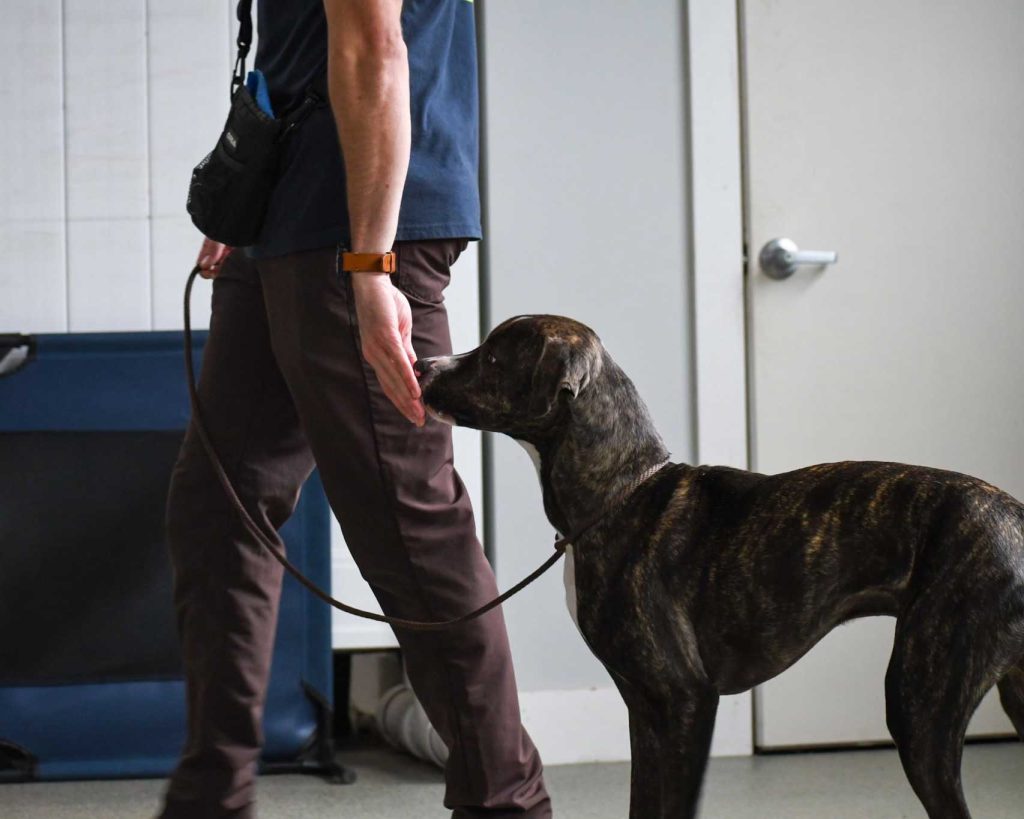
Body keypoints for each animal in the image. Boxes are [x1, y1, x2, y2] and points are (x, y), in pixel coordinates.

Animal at [414, 314, 1024, 819]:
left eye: (495, 357)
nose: (421, 364)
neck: (622, 493)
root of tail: (1015, 518)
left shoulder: (684, 701)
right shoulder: (645, 711)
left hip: (919, 708)